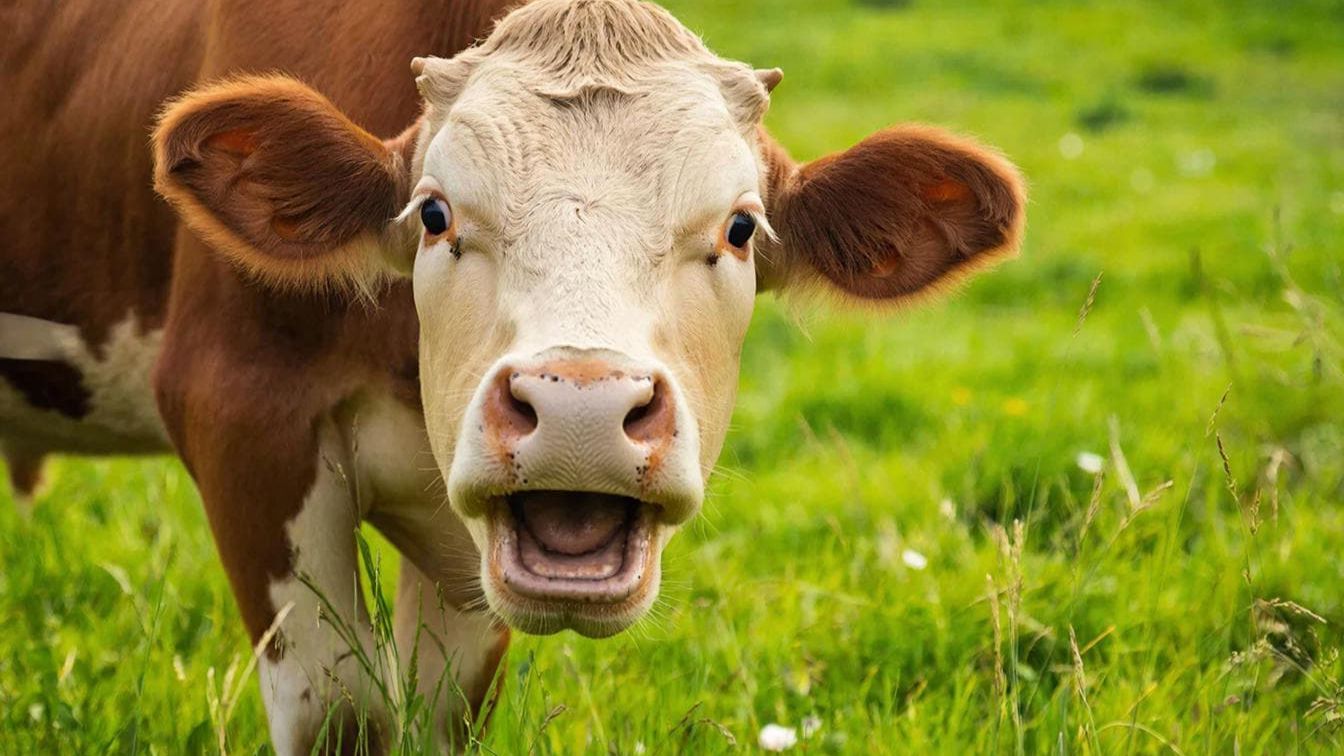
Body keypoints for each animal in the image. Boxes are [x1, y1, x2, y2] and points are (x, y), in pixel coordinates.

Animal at [0, 0, 1025, 751]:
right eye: (435, 213)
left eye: (740, 227)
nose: (582, 410)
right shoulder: (241, 415)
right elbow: (339, 713)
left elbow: (438, 716)